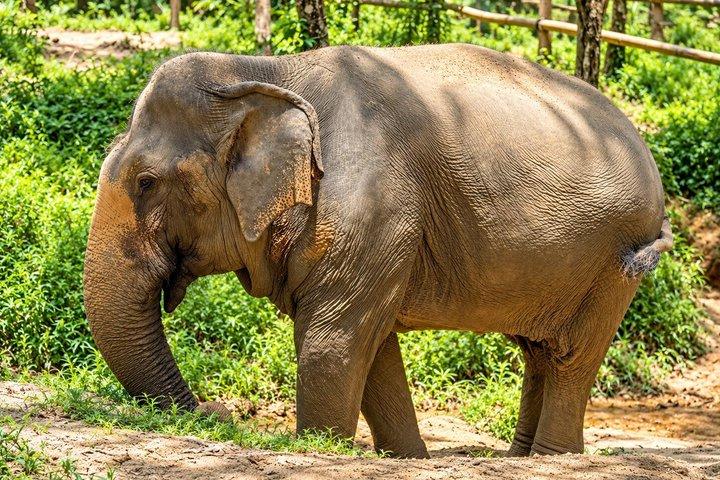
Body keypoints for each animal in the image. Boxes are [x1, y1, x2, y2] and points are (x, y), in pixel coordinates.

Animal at [83, 43, 673, 459]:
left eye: (147, 183)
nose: (217, 414)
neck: (267, 71)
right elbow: (375, 347)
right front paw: (407, 457)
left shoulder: (371, 206)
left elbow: (335, 341)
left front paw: (318, 446)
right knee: (538, 353)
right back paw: (522, 456)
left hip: (613, 261)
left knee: (573, 356)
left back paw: (552, 457)